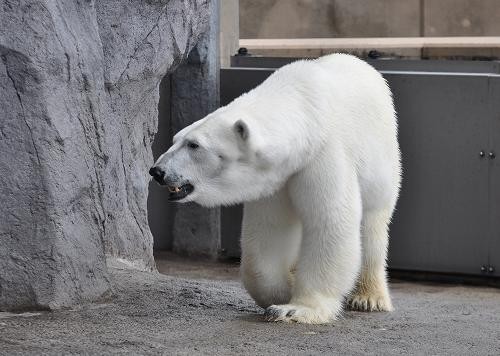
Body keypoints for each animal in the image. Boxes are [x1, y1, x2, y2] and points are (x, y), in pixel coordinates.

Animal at [151, 54, 402, 324]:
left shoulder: (323, 154)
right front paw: (284, 291)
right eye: (176, 139)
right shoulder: (274, 179)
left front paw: (296, 309)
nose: (157, 171)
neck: (305, 112)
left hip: (381, 158)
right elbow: (268, 231)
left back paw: (368, 297)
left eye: (194, 145)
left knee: (372, 222)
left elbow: (329, 221)